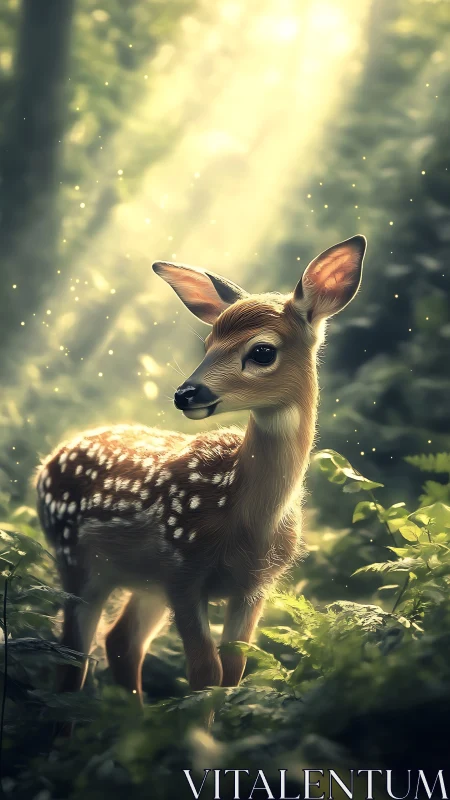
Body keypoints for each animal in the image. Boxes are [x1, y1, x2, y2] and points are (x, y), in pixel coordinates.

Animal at [36, 235, 366, 701]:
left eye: (262, 351)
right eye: (207, 343)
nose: (186, 393)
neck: (246, 518)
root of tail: (46, 463)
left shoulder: (254, 586)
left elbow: (233, 670)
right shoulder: (183, 569)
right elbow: (205, 672)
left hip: (144, 581)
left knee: (120, 641)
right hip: (78, 559)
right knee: (73, 654)